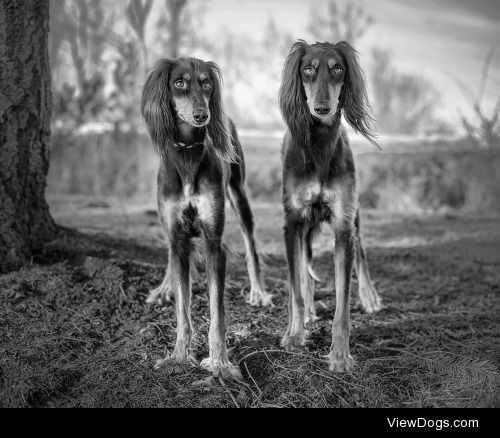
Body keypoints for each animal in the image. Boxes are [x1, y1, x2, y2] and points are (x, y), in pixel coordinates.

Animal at [143, 57, 272, 380]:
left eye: (207, 83)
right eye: (179, 83)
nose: (202, 115)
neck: (187, 154)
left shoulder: (214, 243)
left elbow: (217, 314)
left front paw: (220, 363)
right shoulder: (177, 236)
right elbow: (182, 310)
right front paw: (178, 357)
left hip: (239, 193)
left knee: (250, 243)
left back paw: (259, 291)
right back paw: (164, 288)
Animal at [278, 41, 382, 372]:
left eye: (338, 68)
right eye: (308, 69)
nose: (322, 108)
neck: (319, 146)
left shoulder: (343, 227)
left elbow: (342, 304)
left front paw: (340, 354)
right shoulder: (293, 223)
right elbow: (296, 288)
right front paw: (294, 333)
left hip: (355, 216)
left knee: (362, 252)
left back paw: (369, 295)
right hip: (307, 225)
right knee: (304, 268)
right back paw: (309, 313)